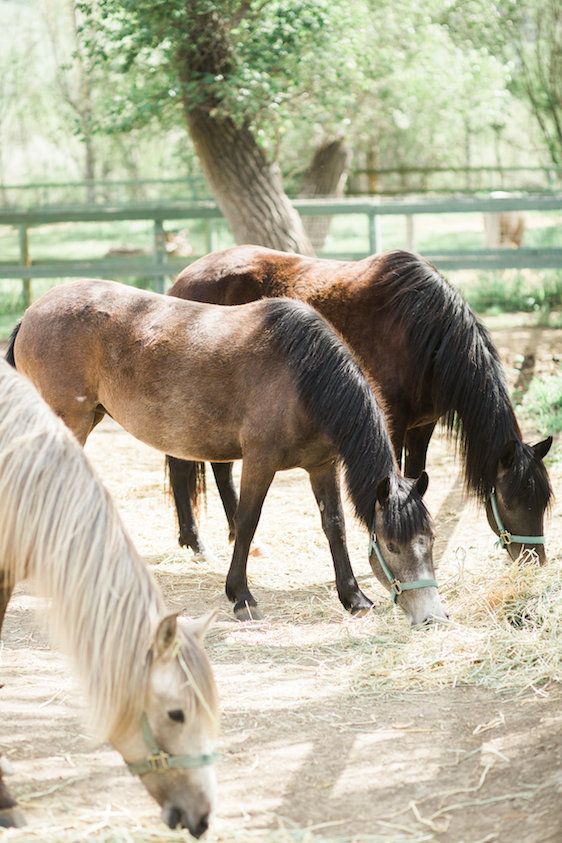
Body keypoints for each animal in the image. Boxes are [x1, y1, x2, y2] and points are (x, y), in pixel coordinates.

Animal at [5, 280, 442, 624]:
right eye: (392, 546)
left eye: (430, 540)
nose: (431, 616)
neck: (303, 374)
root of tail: (31, 314)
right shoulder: (260, 462)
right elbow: (247, 522)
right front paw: (241, 597)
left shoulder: (322, 465)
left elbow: (333, 524)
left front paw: (353, 597)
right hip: (70, 421)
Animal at [166, 247, 552, 568]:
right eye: (511, 501)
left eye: (545, 501)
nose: (533, 559)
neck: (422, 332)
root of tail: (183, 279)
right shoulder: (390, 423)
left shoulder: (421, 426)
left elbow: (415, 472)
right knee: (180, 464)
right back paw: (195, 542)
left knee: (220, 468)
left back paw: (236, 533)